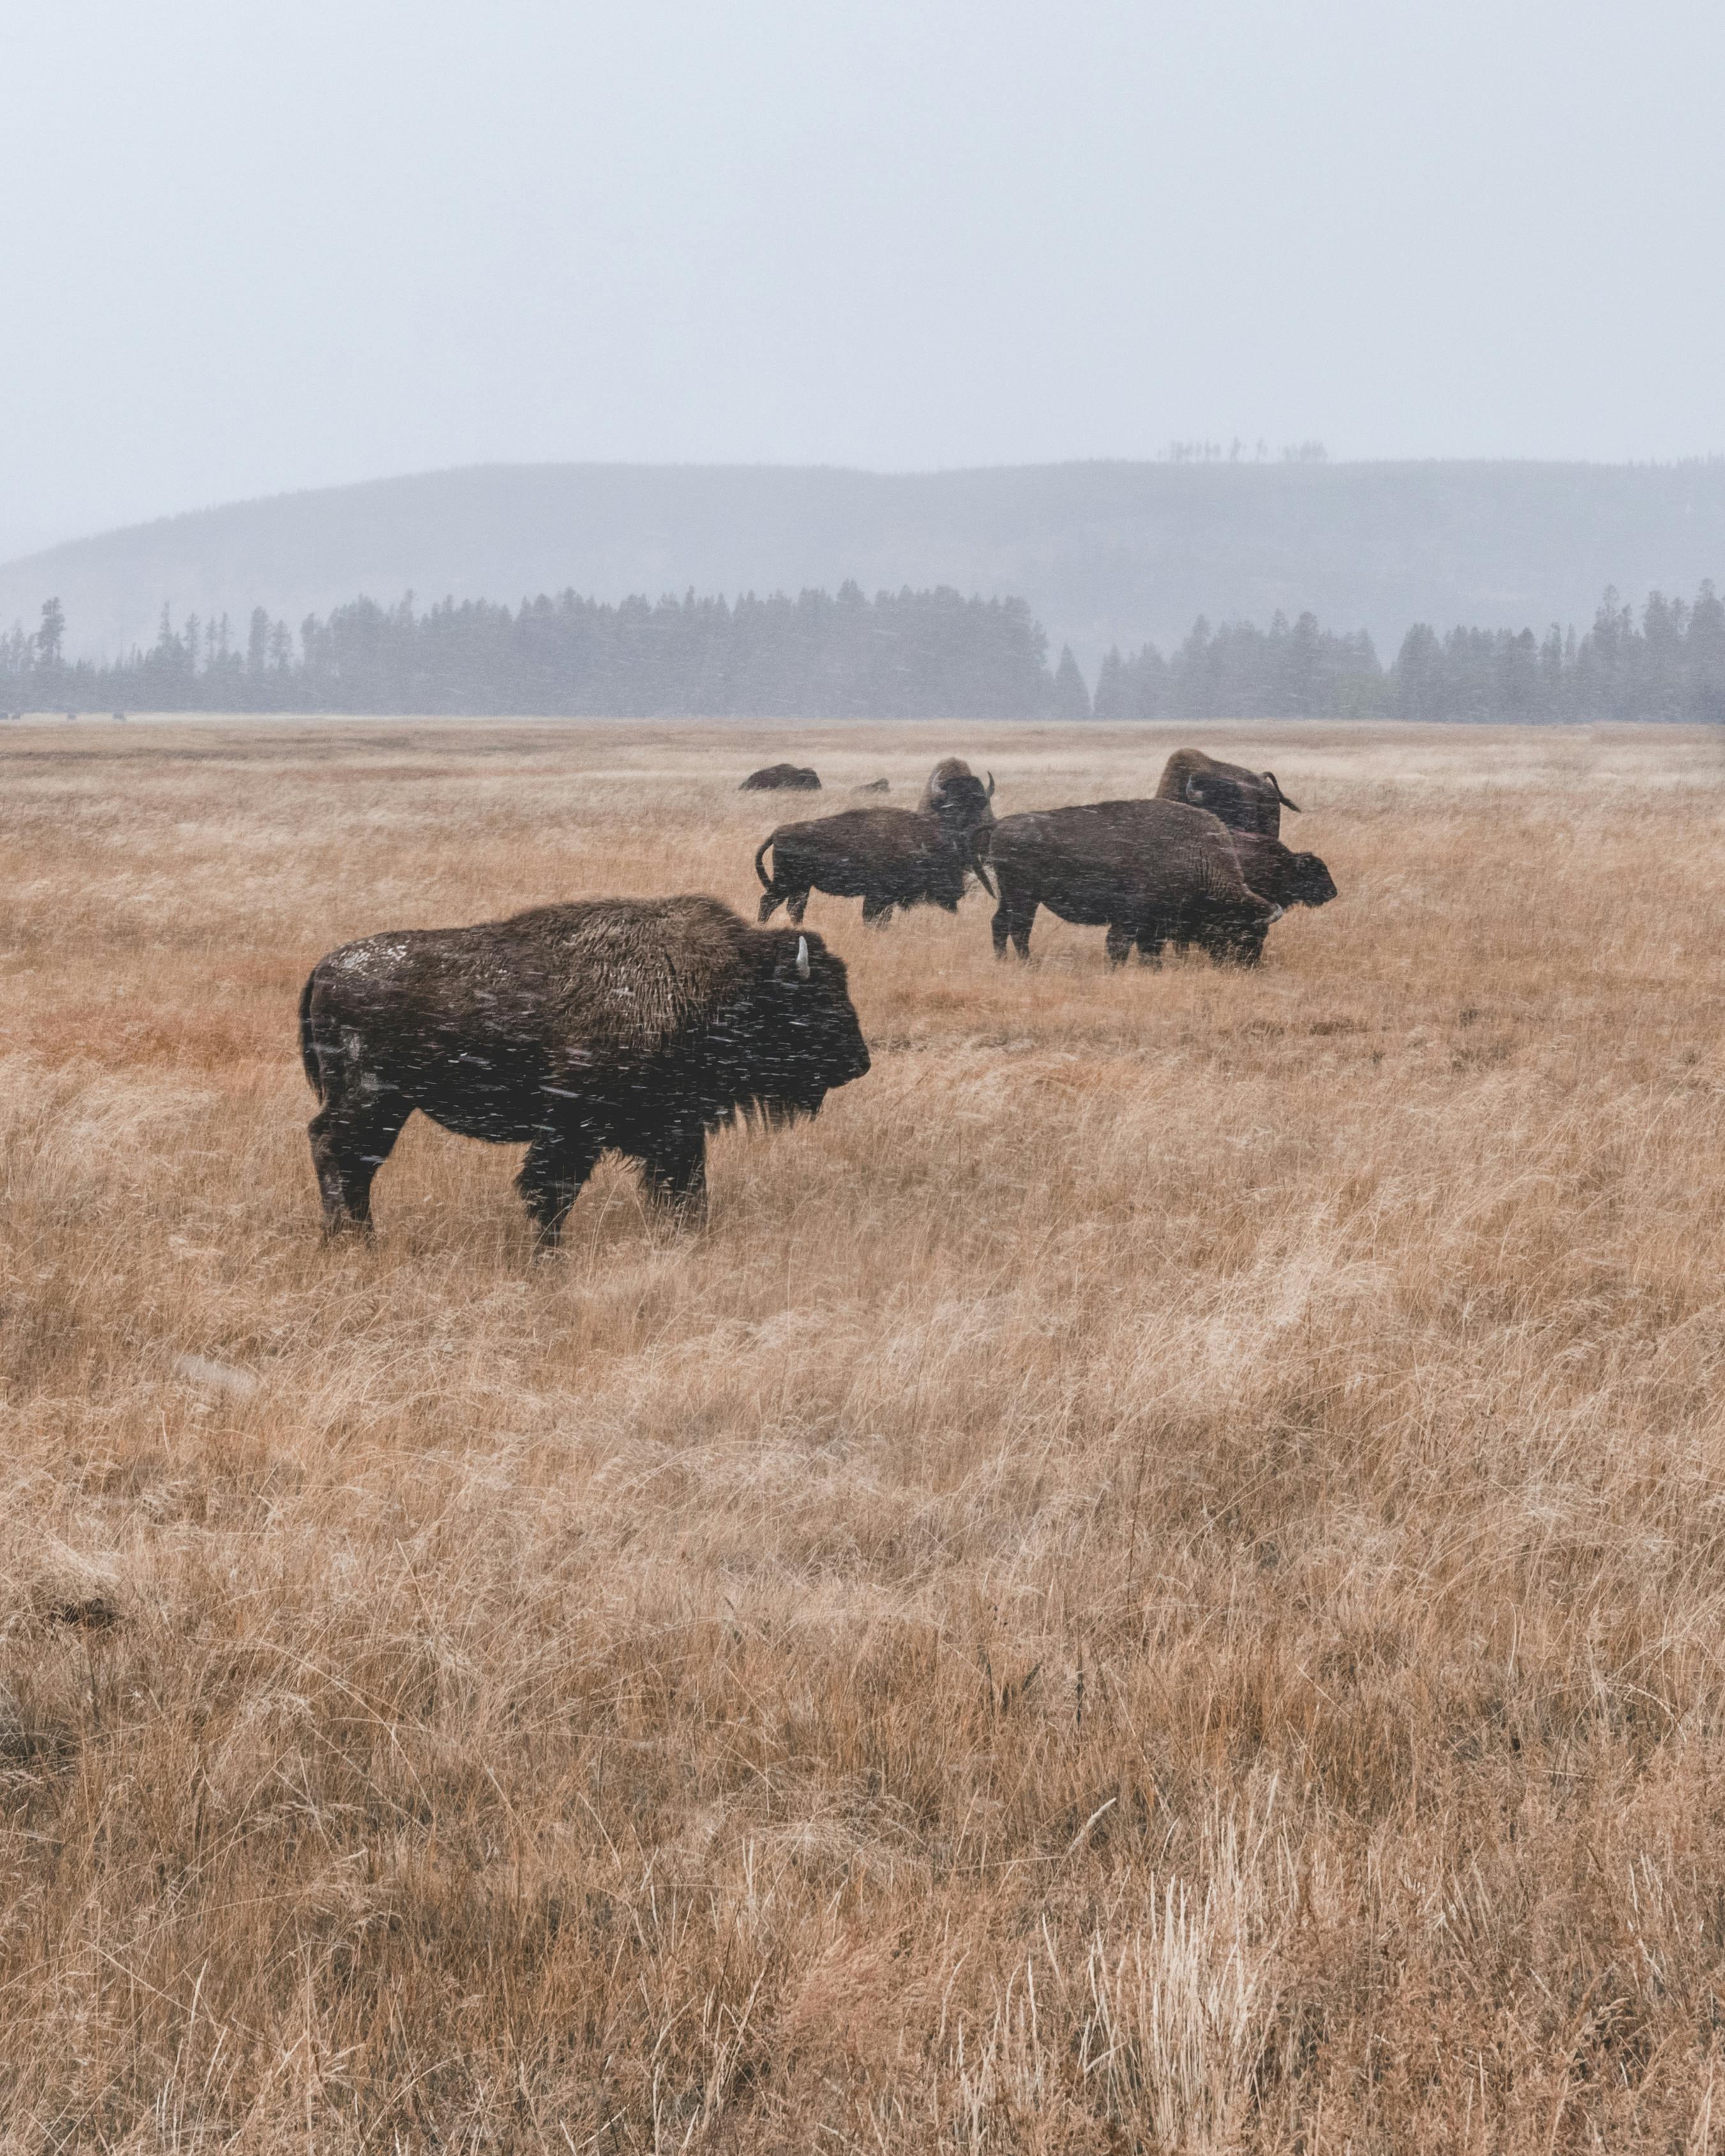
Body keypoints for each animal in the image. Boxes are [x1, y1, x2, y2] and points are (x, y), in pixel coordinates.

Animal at [299, 894, 869, 1242]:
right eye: (815, 999)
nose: (860, 1062)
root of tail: (326, 967)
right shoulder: (574, 1128)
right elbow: (552, 1192)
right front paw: (547, 1260)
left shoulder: (675, 1129)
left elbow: (688, 1191)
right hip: (370, 1096)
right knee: (334, 1150)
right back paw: (346, 1239)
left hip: (392, 1105)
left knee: (358, 1163)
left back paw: (363, 1238)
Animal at [986, 798, 1280, 965]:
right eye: (1245, 932)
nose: (1249, 965)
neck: (1196, 855)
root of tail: (1000, 825)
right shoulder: (1132, 920)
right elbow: (1121, 947)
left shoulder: (1152, 928)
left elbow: (1148, 952)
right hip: (1024, 897)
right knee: (1019, 929)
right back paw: (1029, 964)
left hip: (1012, 896)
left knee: (1000, 923)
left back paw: (1002, 961)